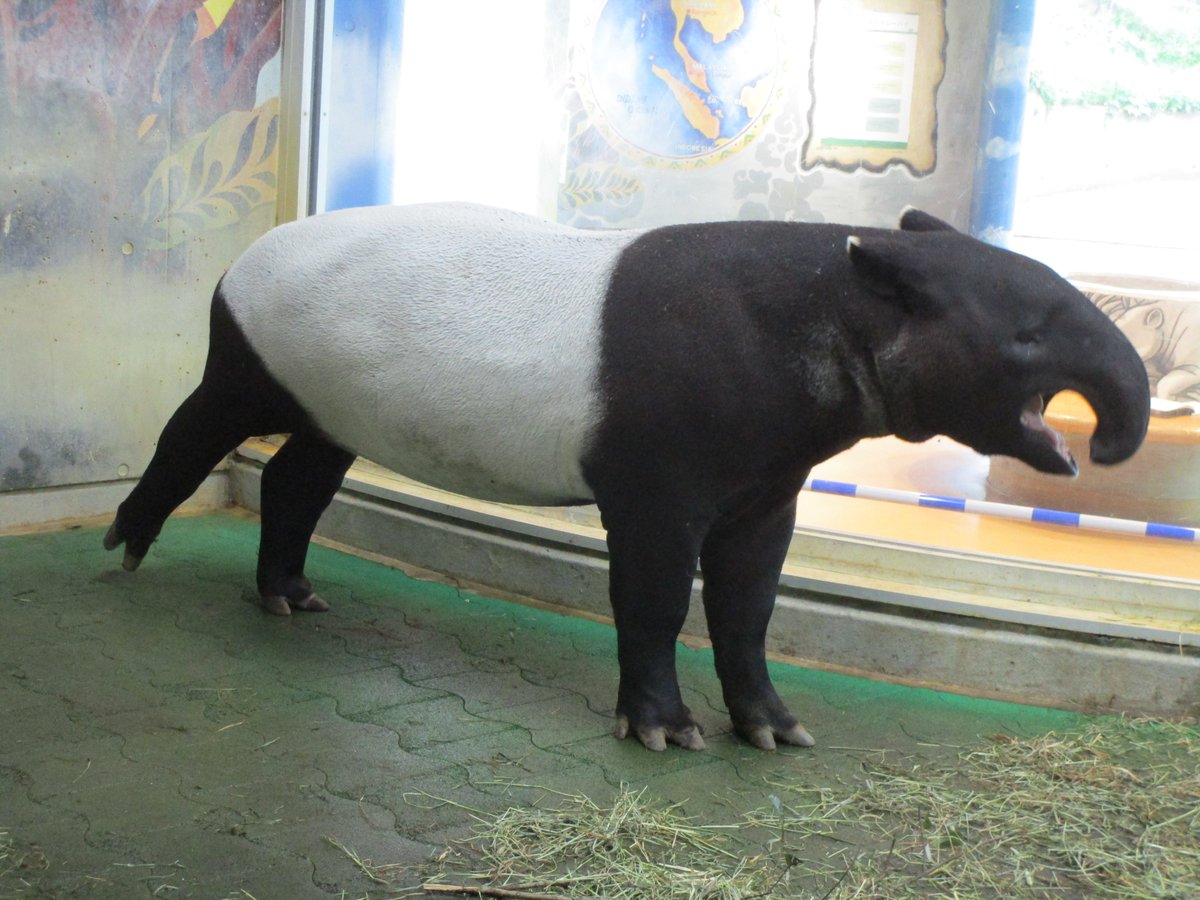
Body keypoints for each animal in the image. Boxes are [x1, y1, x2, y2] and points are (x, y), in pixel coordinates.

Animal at [104, 203, 1150, 752]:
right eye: (1027, 337)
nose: (1105, 445)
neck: (831, 309)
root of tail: (247, 249)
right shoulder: (660, 480)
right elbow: (652, 597)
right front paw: (664, 730)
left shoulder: (766, 488)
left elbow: (748, 606)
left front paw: (773, 728)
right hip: (256, 353)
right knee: (194, 432)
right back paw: (129, 544)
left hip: (335, 392)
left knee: (299, 478)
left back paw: (289, 595)